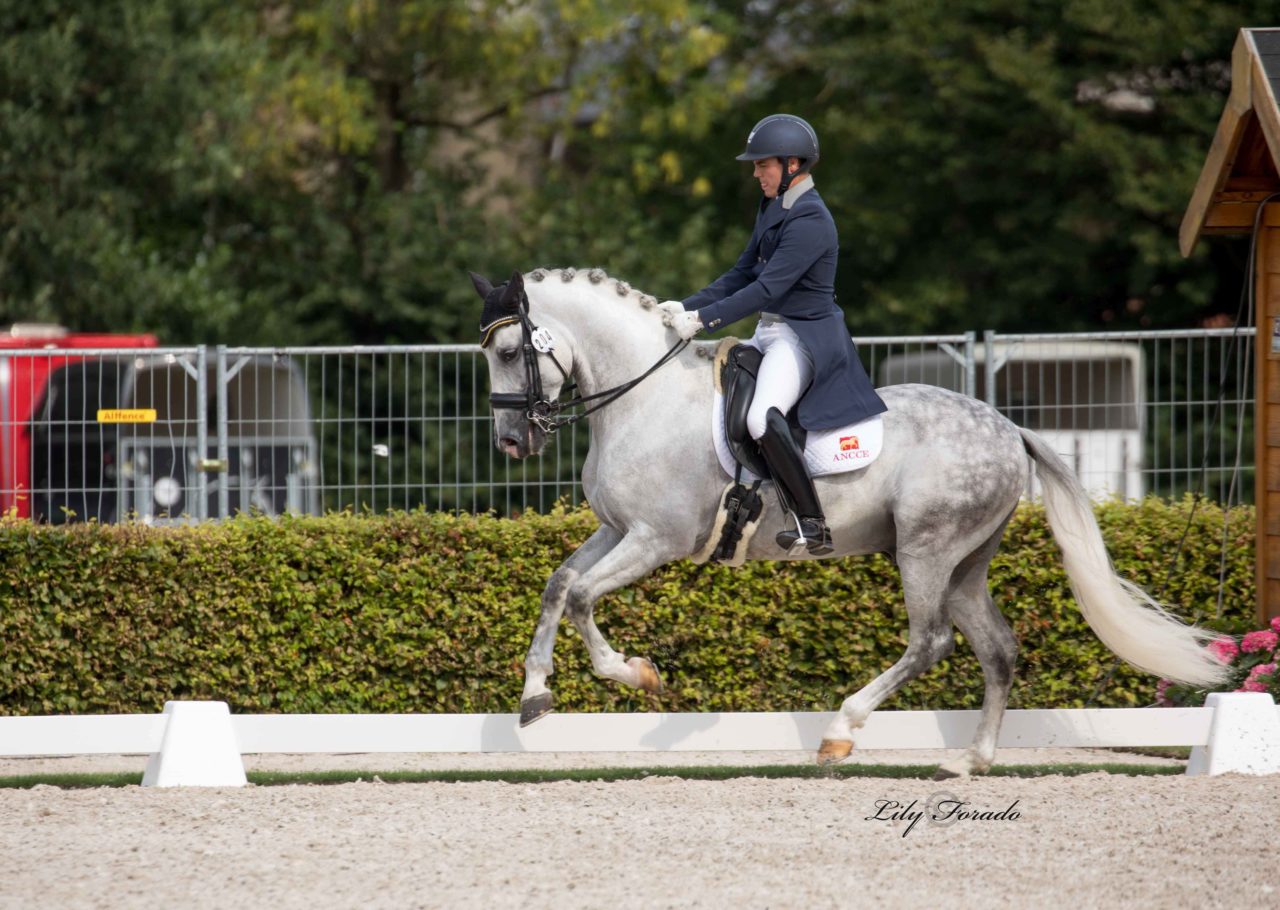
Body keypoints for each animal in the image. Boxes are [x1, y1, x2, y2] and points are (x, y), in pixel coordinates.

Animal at [471, 267, 1228, 778]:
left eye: (509, 353)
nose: (509, 442)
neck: (641, 398)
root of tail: (1008, 428)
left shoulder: (656, 539)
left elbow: (581, 595)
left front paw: (633, 674)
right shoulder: (616, 530)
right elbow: (558, 584)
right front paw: (535, 695)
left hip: (926, 551)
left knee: (931, 642)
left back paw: (843, 729)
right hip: (964, 563)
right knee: (997, 649)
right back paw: (970, 761)